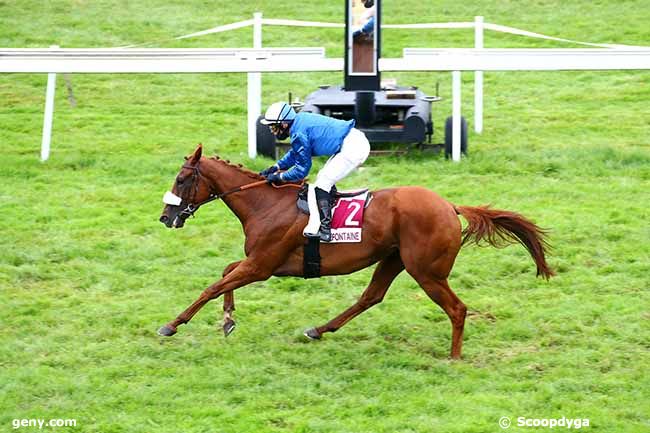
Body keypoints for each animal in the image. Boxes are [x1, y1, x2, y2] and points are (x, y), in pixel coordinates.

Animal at [157, 145, 552, 358]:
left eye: (182, 179)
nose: (165, 217)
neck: (264, 203)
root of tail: (449, 206)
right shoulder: (260, 263)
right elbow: (225, 272)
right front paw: (228, 320)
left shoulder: (262, 265)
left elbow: (212, 286)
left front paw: (172, 325)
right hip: (394, 259)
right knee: (370, 297)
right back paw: (319, 329)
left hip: (426, 270)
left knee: (457, 308)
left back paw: (454, 357)